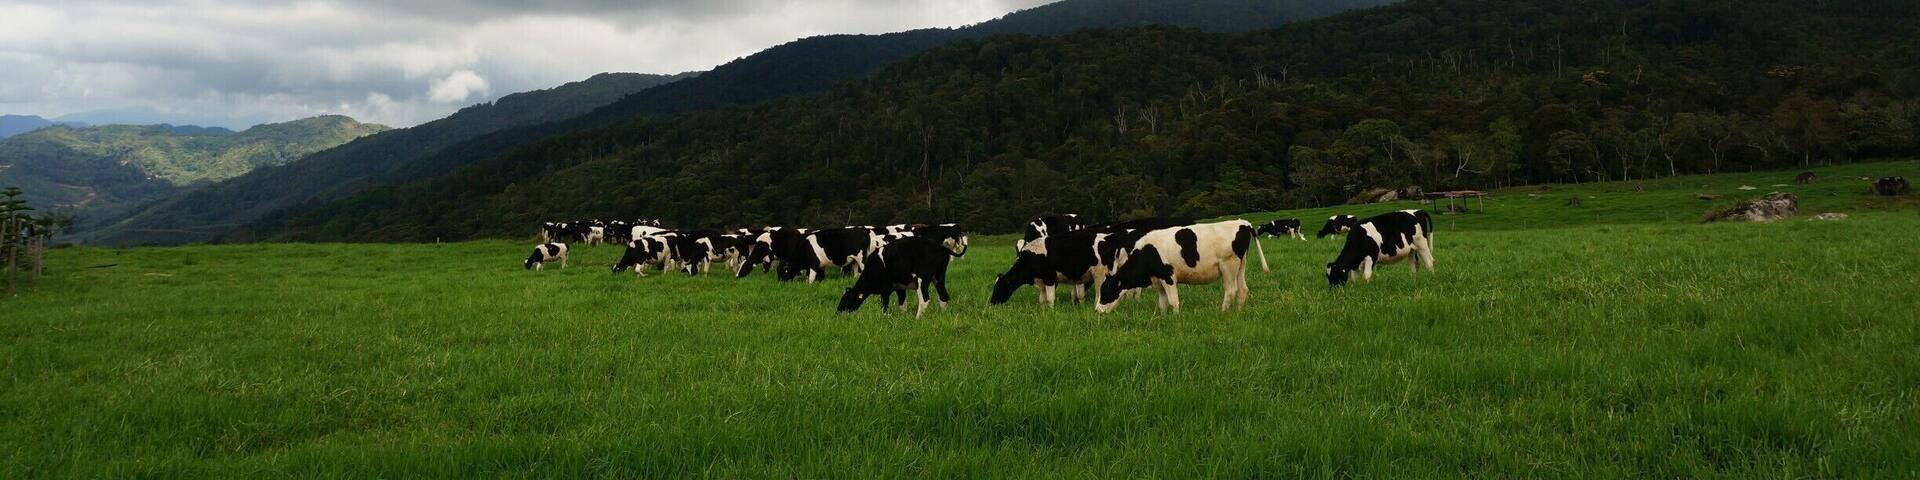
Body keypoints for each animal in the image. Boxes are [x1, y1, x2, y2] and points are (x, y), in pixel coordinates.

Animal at [837, 236, 966, 317]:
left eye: (845, 299)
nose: (838, 311)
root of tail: (940, 247)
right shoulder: (900, 288)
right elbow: (902, 304)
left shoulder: (885, 289)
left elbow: (884, 306)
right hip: (939, 277)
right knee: (943, 296)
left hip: (922, 280)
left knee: (924, 299)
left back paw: (917, 319)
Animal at [1095, 220, 1269, 314]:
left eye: (1106, 291)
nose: (1096, 311)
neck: (1148, 252)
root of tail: (1242, 223)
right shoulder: (1159, 280)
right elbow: (1162, 303)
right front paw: (1163, 318)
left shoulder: (1169, 276)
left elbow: (1174, 301)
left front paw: (1176, 318)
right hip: (1240, 266)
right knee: (1243, 290)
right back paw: (1238, 312)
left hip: (1228, 265)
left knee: (1231, 290)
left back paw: (1223, 312)